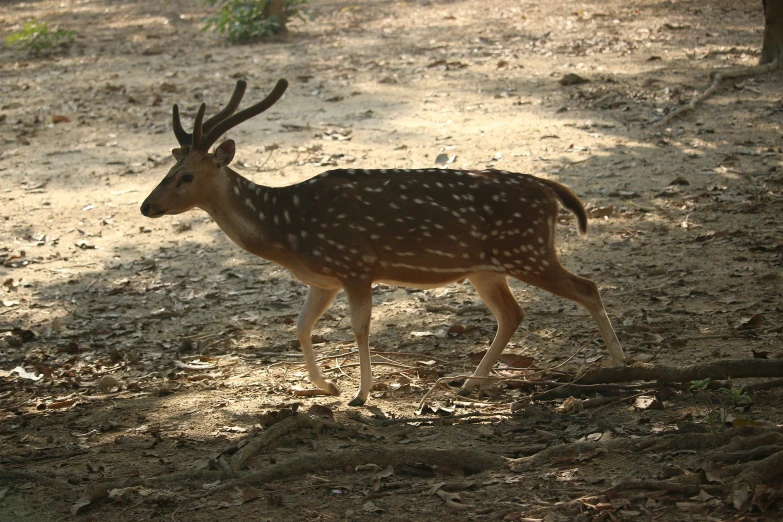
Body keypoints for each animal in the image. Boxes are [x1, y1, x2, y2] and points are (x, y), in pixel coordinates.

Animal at [141, 78, 628, 406]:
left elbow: (360, 328)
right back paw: (471, 382)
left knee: (587, 287)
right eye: (167, 170)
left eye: (186, 176)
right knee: (513, 314)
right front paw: (327, 385)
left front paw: (361, 394)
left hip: (526, 250)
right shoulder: (324, 278)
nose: (147, 206)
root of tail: (549, 189)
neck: (287, 230)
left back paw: (619, 364)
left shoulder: (355, 265)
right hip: (486, 267)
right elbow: (300, 326)